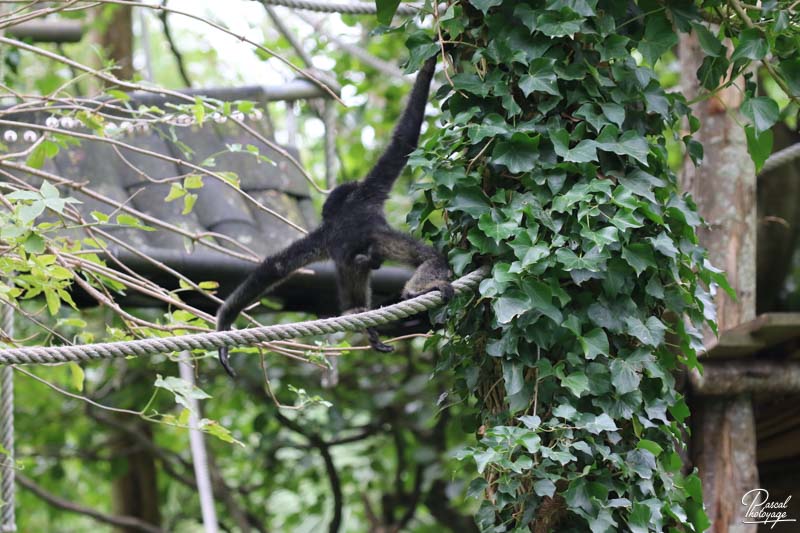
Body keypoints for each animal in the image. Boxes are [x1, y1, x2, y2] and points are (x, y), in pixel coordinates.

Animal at [216, 56, 454, 376]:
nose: (372, 261)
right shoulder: (367, 194)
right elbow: (403, 143)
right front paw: (428, 68)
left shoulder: (326, 233)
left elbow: (275, 267)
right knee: (431, 258)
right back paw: (414, 290)